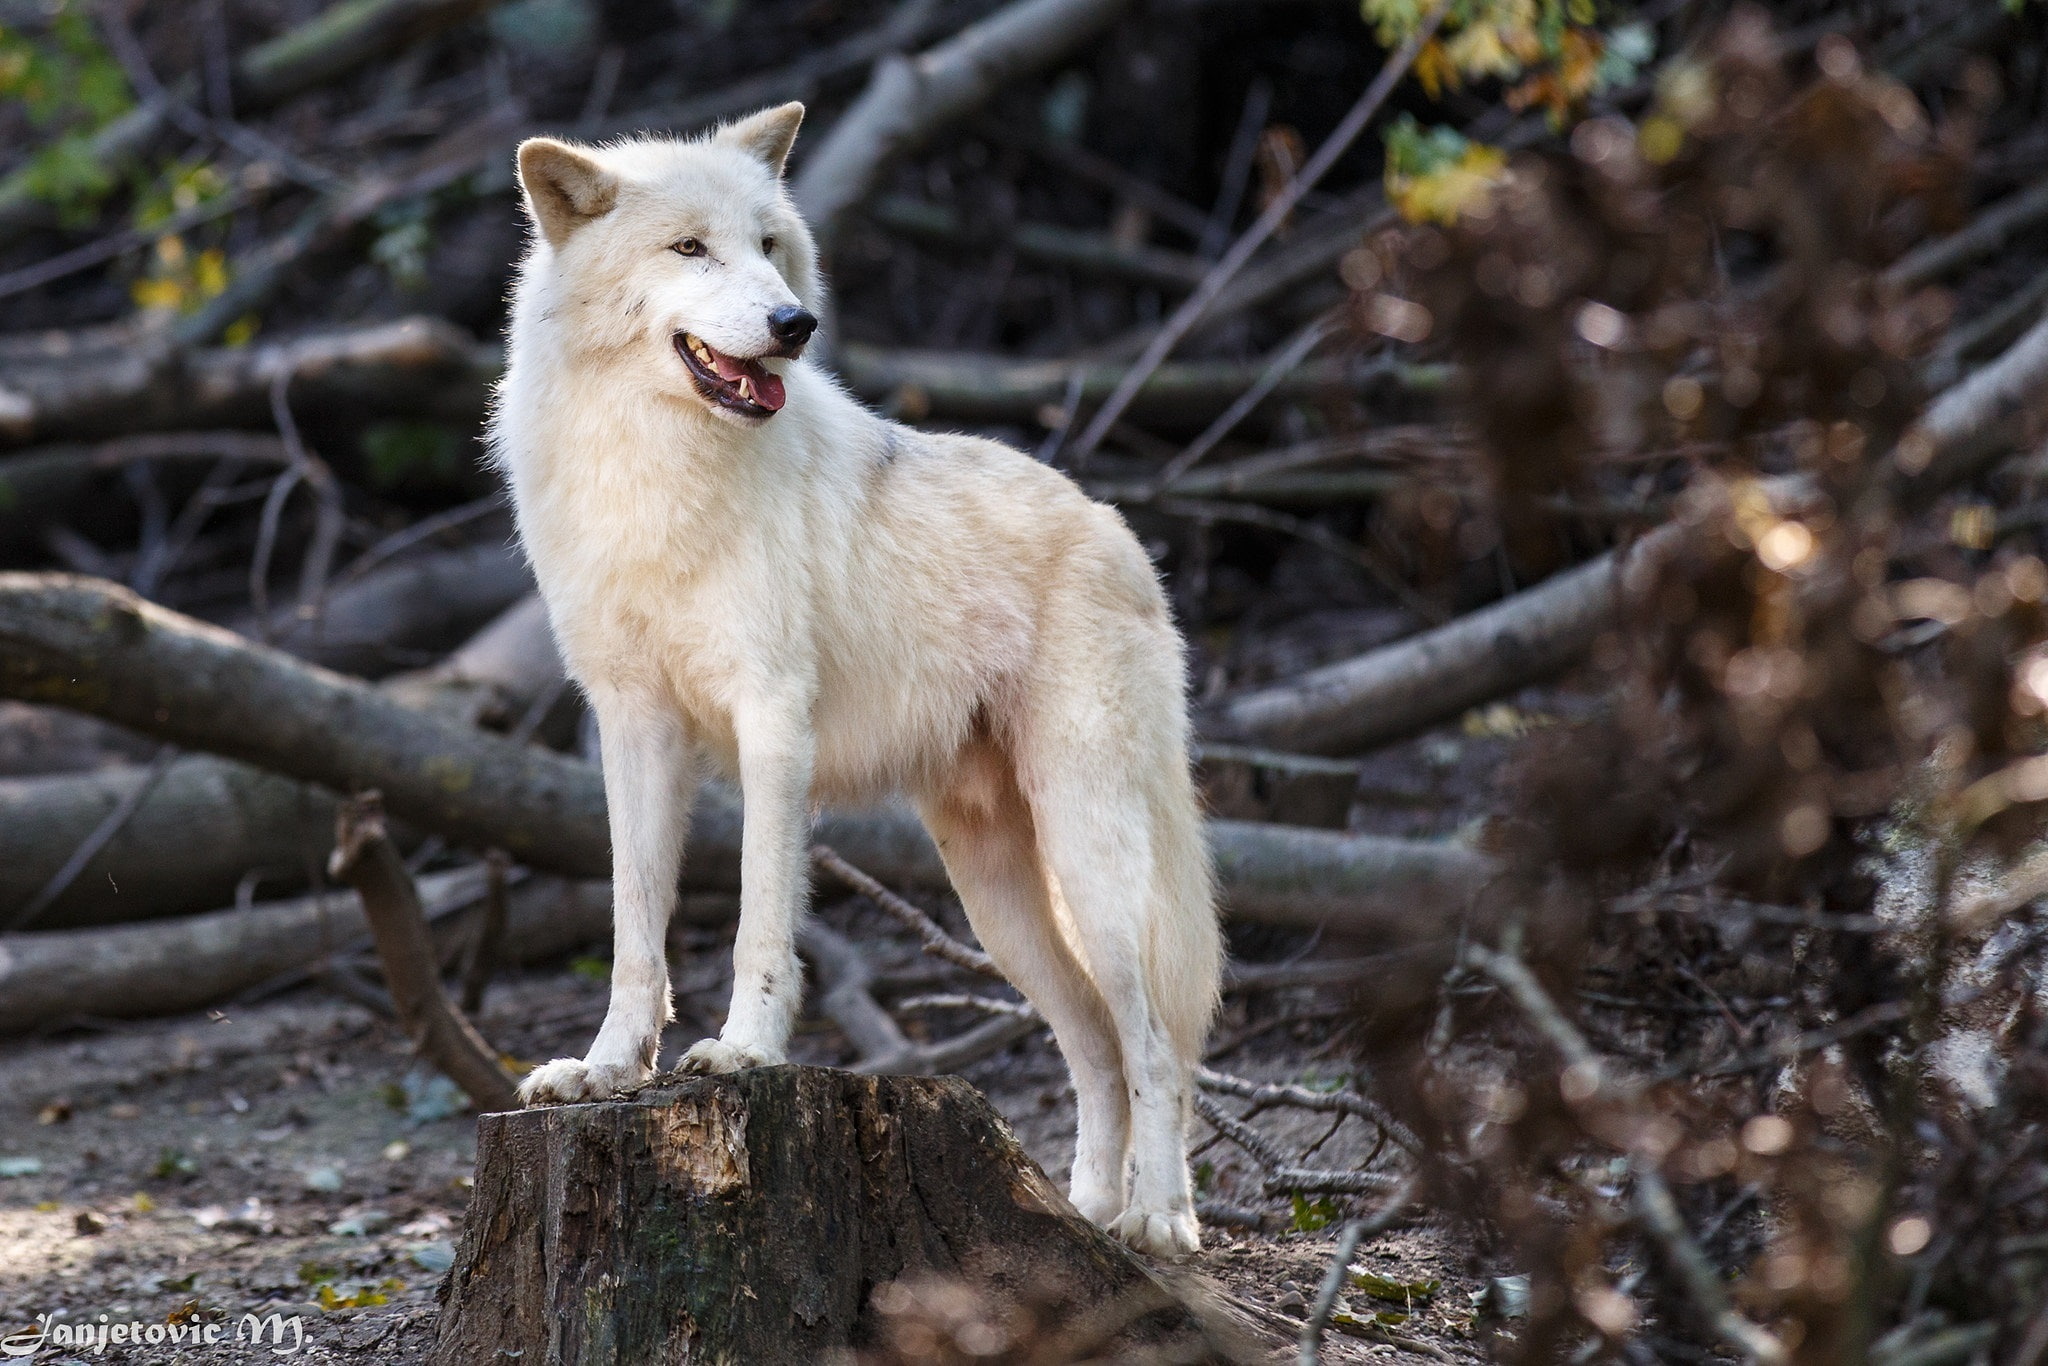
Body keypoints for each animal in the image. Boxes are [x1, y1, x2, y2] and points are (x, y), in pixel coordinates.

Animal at [491, 102, 1222, 1258]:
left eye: (768, 245)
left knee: (1155, 1045)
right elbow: (633, 931)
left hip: (1092, 862)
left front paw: (744, 1052)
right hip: (995, 901)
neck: (656, 466)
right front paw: (606, 1071)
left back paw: (1161, 1222)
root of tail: (1117, 530)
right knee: (1096, 1048)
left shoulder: (770, 720)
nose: (794, 323)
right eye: (689, 248)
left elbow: (757, 920)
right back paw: (1088, 1214)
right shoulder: (634, 728)